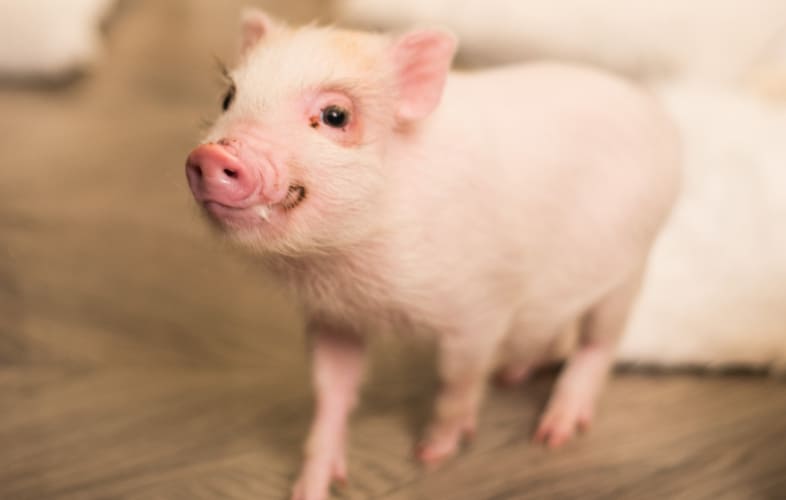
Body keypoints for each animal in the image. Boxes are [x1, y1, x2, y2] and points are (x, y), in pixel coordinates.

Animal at [185, 9, 681, 500]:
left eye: (335, 115)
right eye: (229, 98)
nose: (211, 155)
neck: (351, 267)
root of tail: (659, 120)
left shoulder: (480, 307)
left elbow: (456, 382)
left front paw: (431, 454)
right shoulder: (333, 316)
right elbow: (331, 391)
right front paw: (311, 489)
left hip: (632, 263)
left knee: (600, 343)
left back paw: (553, 432)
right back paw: (512, 376)